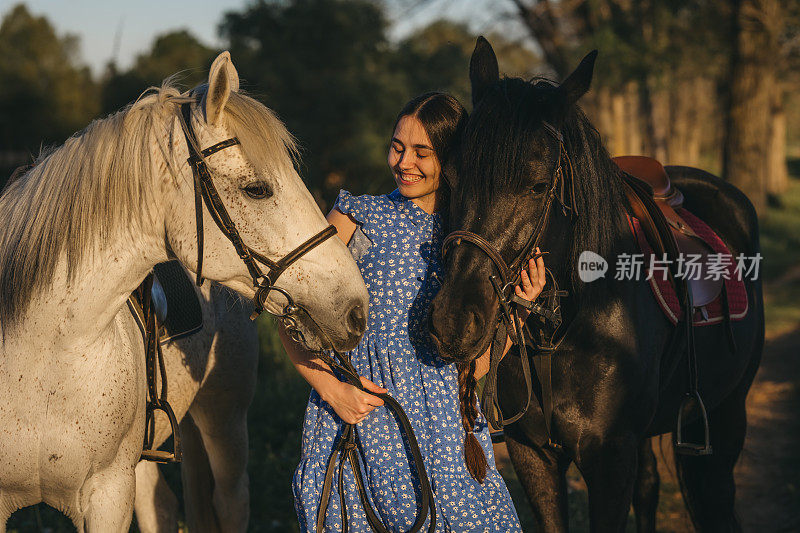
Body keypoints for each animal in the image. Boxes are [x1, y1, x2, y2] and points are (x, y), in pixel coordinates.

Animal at [0, 51, 368, 532]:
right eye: (257, 189)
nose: (357, 308)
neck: (46, 349)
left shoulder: (106, 495)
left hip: (223, 421)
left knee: (230, 501)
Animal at [428, 38, 764, 532]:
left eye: (538, 185)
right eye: (450, 178)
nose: (454, 321)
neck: (566, 330)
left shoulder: (611, 460)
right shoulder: (534, 457)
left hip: (726, 415)